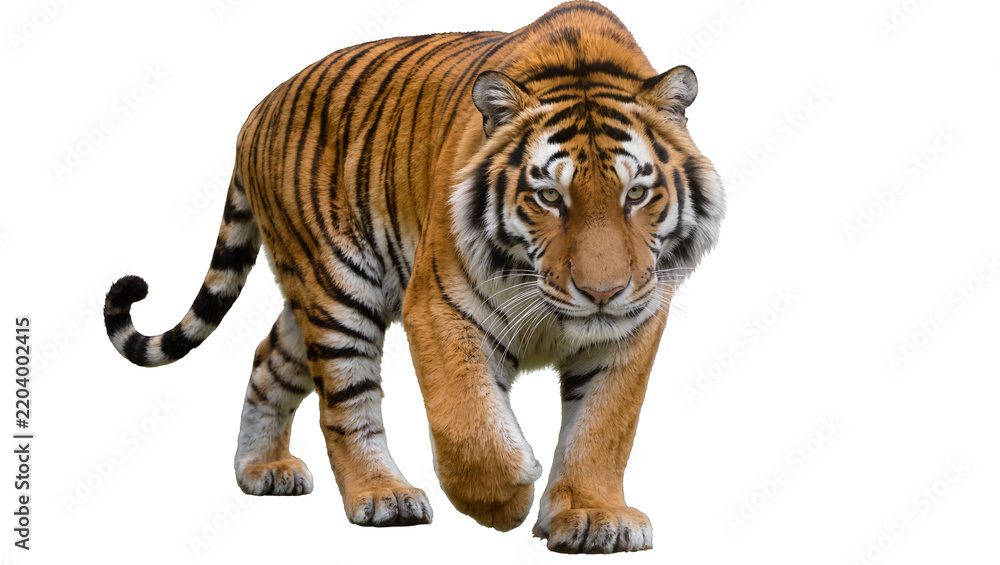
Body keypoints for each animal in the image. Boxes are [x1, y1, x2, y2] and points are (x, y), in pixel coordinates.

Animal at [103, 0, 724, 554]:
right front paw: (504, 500)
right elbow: (467, 421)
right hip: (337, 289)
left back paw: (263, 468)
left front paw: (593, 516)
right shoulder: (439, 303)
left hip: (308, 299)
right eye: (549, 196)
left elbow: (603, 425)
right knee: (344, 403)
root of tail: (257, 111)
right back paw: (384, 496)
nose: (602, 292)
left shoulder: (634, 324)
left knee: (267, 357)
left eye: (636, 194)